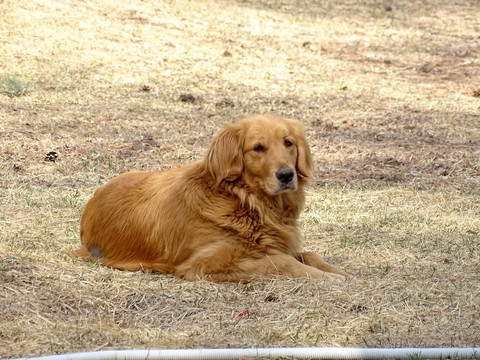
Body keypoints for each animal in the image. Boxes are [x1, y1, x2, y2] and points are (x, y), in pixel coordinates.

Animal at [75, 114, 348, 282]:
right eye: (258, 148)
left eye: (288, 143)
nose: (286, 175)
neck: (246, 201)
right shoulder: (205, 264)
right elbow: (281, 261)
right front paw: (328, 276)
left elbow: (308, 254)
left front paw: (336, 270)